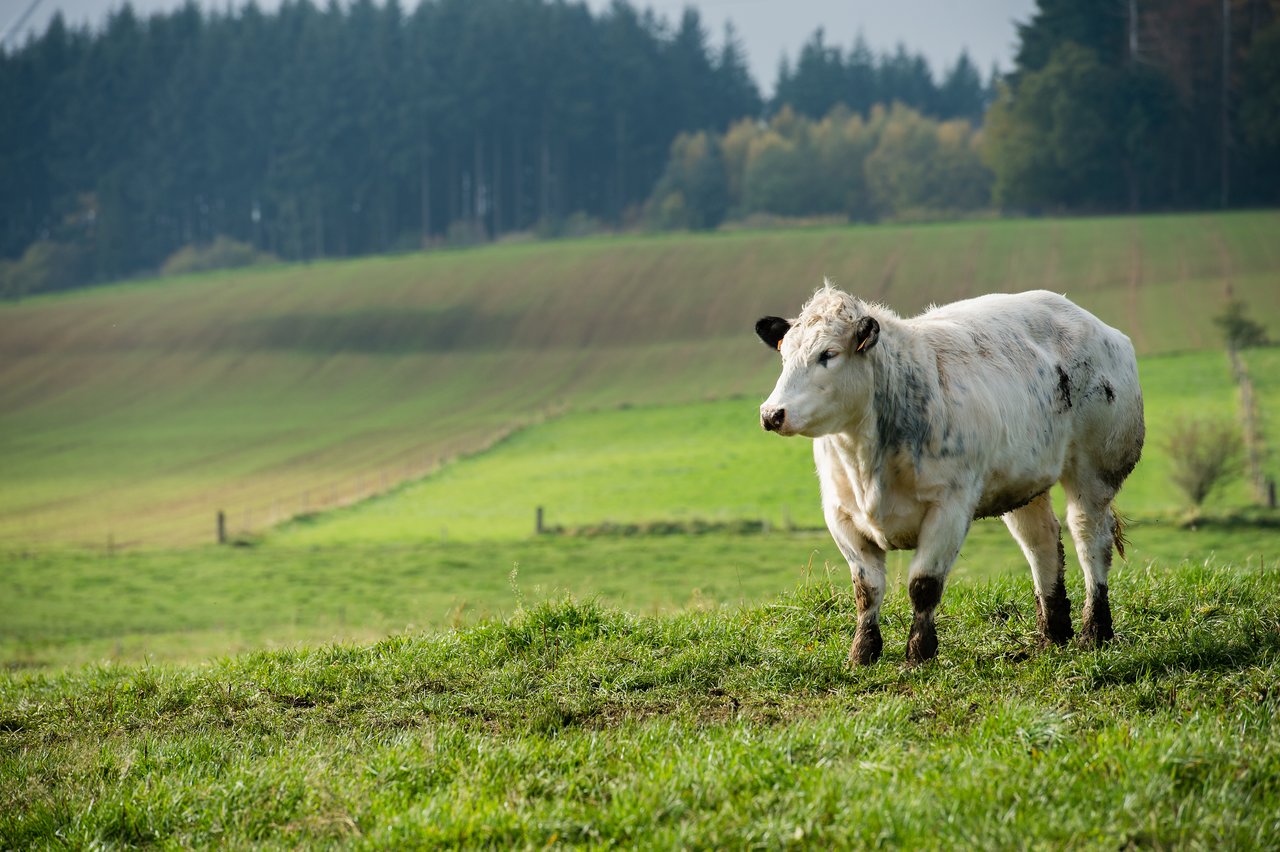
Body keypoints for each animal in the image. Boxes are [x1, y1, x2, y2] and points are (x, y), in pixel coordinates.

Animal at [756, 283, 1144, 665]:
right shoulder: (841, 516)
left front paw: (919, 653)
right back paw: (1053, 633)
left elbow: (923, 585)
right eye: (785, 355)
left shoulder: (950, 508)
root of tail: (1101, 328)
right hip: (1024, 481)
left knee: (1090, 539)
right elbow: (867, 590)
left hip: (1094, 472)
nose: (772, 413)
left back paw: (1095, 630)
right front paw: (862, 653)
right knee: (1041, 540)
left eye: (829, 354)